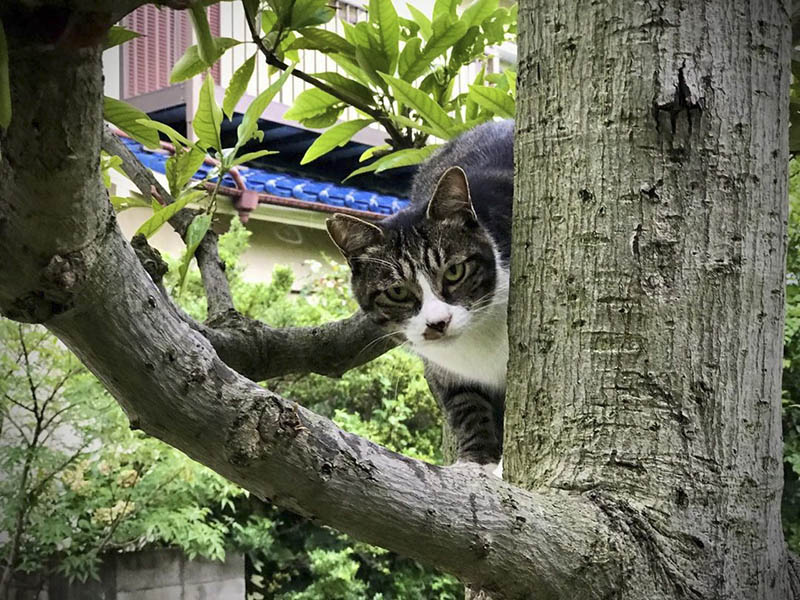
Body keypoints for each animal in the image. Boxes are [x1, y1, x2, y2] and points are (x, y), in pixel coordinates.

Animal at [324, 119, 512, 472]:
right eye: (398, 291)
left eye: (454, 272)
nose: (438, 323)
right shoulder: (446, 373)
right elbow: (465, 406)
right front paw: (477, 461)